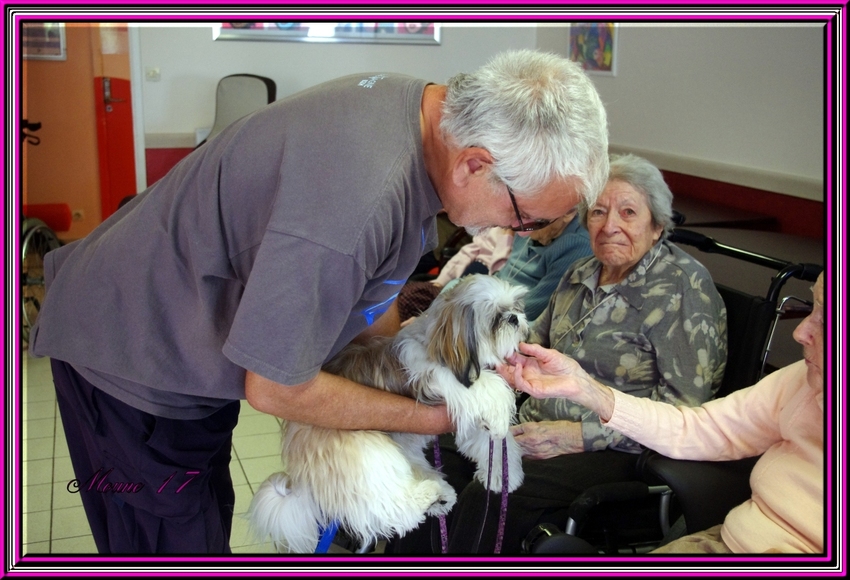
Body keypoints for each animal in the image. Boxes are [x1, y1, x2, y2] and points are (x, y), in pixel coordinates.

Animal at [245, 276, 528, 552]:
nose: (514, 318)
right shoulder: (443, 381)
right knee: (390, 507)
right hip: (361, 447)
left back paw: (438, 495)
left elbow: (493, 444)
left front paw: (503, 476)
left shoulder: (467, 416)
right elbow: (491, 389)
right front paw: (501, 415)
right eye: (495, 318)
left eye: (516, 306)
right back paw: (427, 496)